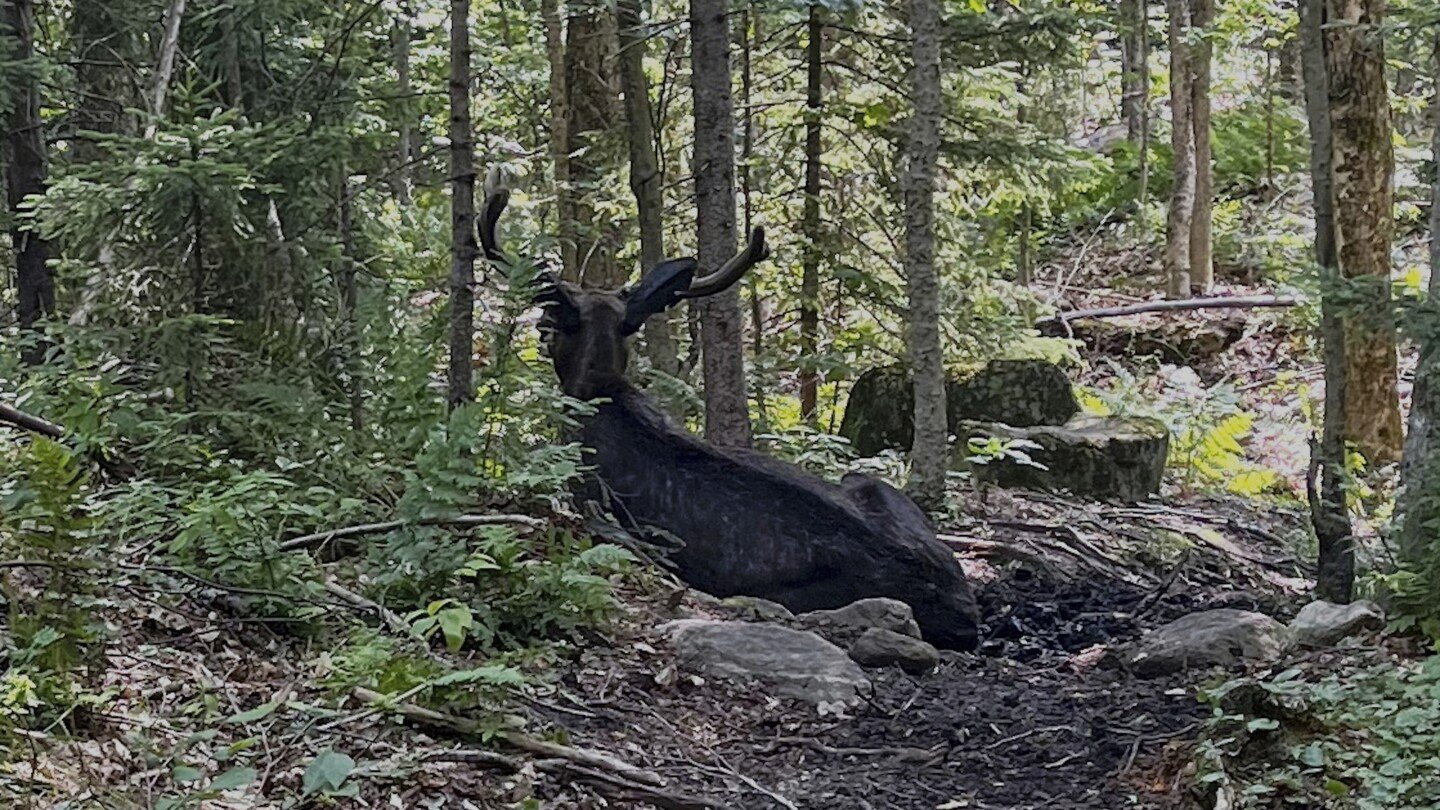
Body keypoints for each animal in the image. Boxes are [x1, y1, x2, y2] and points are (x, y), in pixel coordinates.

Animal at [479, 176, 980, 651]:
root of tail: (965, 612)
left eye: (550, 323)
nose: (539, 330)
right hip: (871, 484)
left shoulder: (586, 495)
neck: (599, 392)